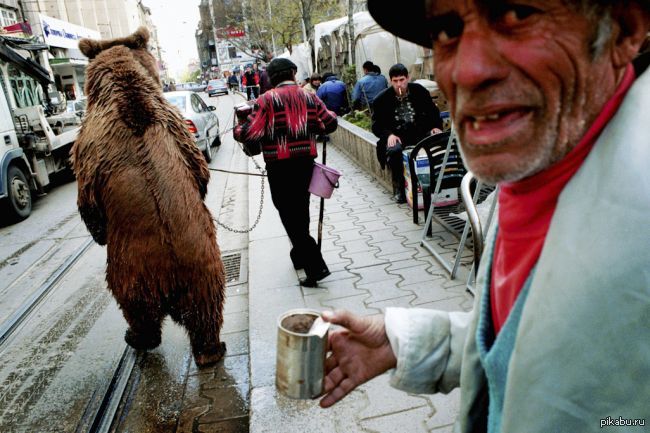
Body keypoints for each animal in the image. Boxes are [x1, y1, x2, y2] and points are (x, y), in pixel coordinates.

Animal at [71, 26, 225, 364]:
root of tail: (170, 272)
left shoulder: (90, 147)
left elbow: (87, 199)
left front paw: (96, 230)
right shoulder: (177, 128)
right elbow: (199, 170)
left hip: (129, 268)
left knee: (137, 310)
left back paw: (137, 338)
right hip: (204, 266)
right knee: (207, 312)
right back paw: (211, 349)